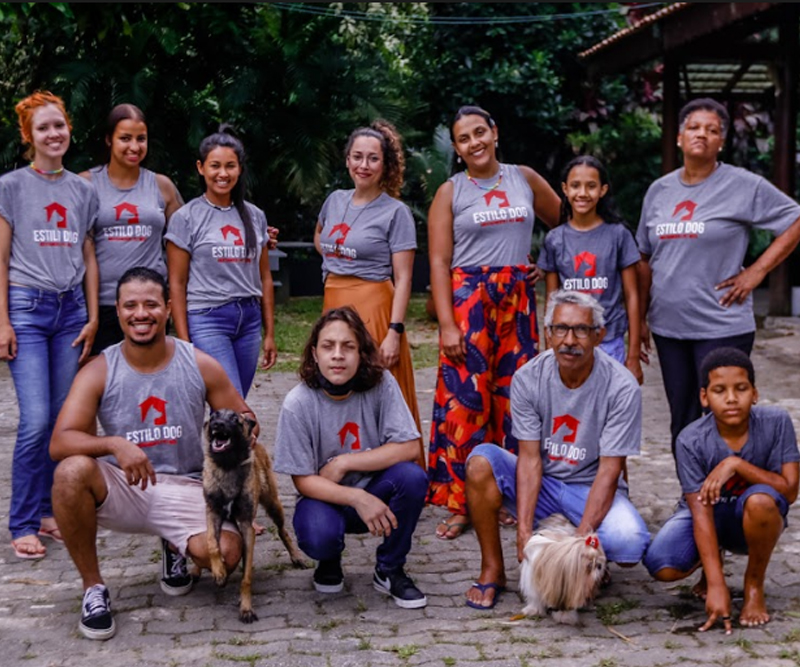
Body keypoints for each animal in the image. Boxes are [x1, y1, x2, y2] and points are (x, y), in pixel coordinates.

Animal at [203, 410, 306, 624]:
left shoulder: (246, 526)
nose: (218, 424)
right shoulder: (212, 513)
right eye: (214, 415)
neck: (228, 465)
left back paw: (296, 556)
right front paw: (219, 571)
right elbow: (212, 543)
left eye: (235, 418)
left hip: (273, 505)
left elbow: (246, 577)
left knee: (283, 531)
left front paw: (246, 608)